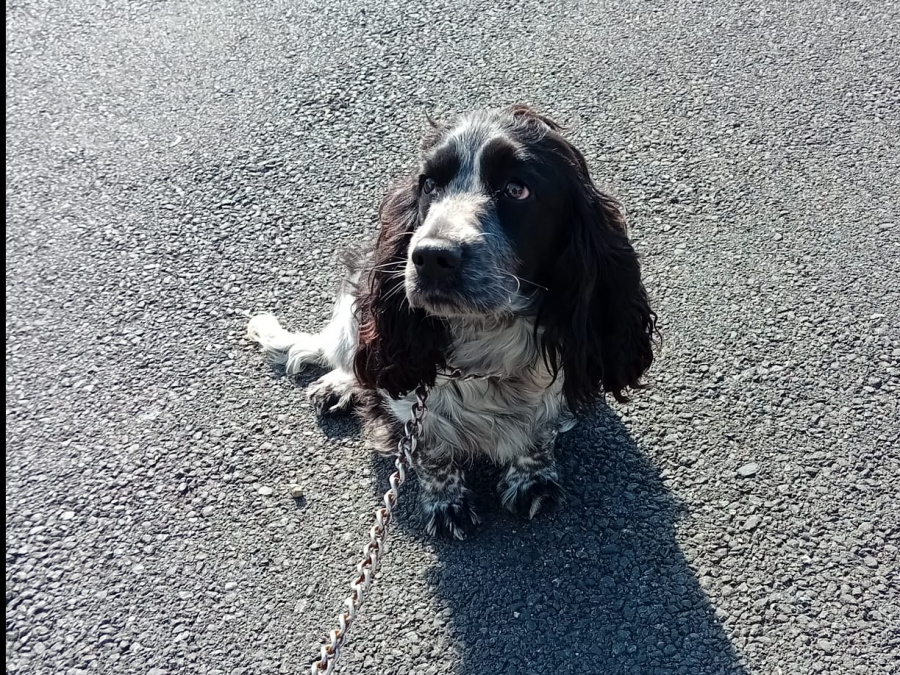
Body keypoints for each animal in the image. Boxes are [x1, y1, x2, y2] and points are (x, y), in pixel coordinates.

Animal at [246, 105, 652, 540]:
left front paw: (532, 481)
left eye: (517, 189)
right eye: (428, 185)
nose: (430, 256)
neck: (485, 340)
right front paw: (446, 504)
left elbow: (538, 434)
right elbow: (432, 453)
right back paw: (338, 384)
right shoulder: (411, 401)